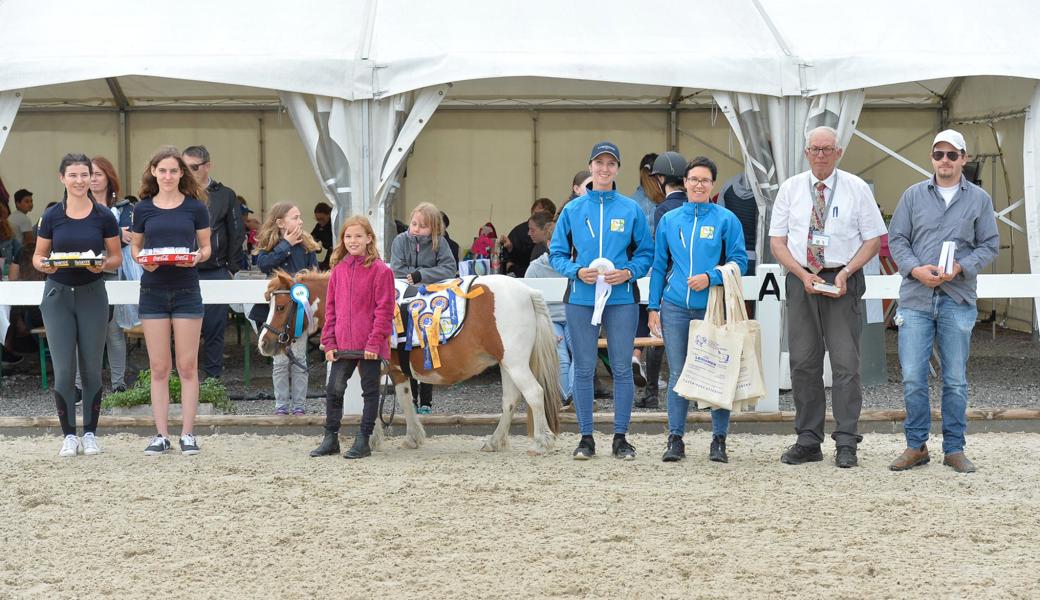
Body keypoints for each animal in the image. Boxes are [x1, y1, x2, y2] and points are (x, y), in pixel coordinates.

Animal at [256, 270, 565, 453]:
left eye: (281, 306)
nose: (264, 344)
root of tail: (527, 292)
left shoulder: (376, 365)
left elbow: (375, 398)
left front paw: (373, 439)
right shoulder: (395, 369)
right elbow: (403, 400)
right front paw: (412, 437)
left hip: (515, 363)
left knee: (534, 394)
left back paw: (542, 442)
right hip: (506, 364)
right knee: (510, 400)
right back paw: (495, 441)